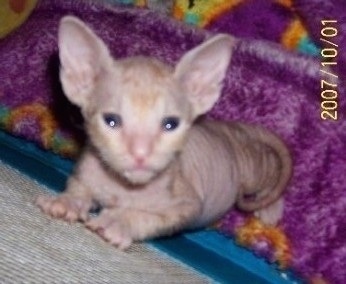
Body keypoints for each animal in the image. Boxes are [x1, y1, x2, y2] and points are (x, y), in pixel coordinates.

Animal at [37, 16, 292, 250]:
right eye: (111, 121)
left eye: (170, 124)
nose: (140, 153)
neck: (126, 187)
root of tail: (233, 126)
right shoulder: (85, 171)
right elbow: (78, 188)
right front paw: (67, 202)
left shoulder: (187, 205)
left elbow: (148, 216)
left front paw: (117, 222)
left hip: (249, 168)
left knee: (267, 169)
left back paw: (271, 208)